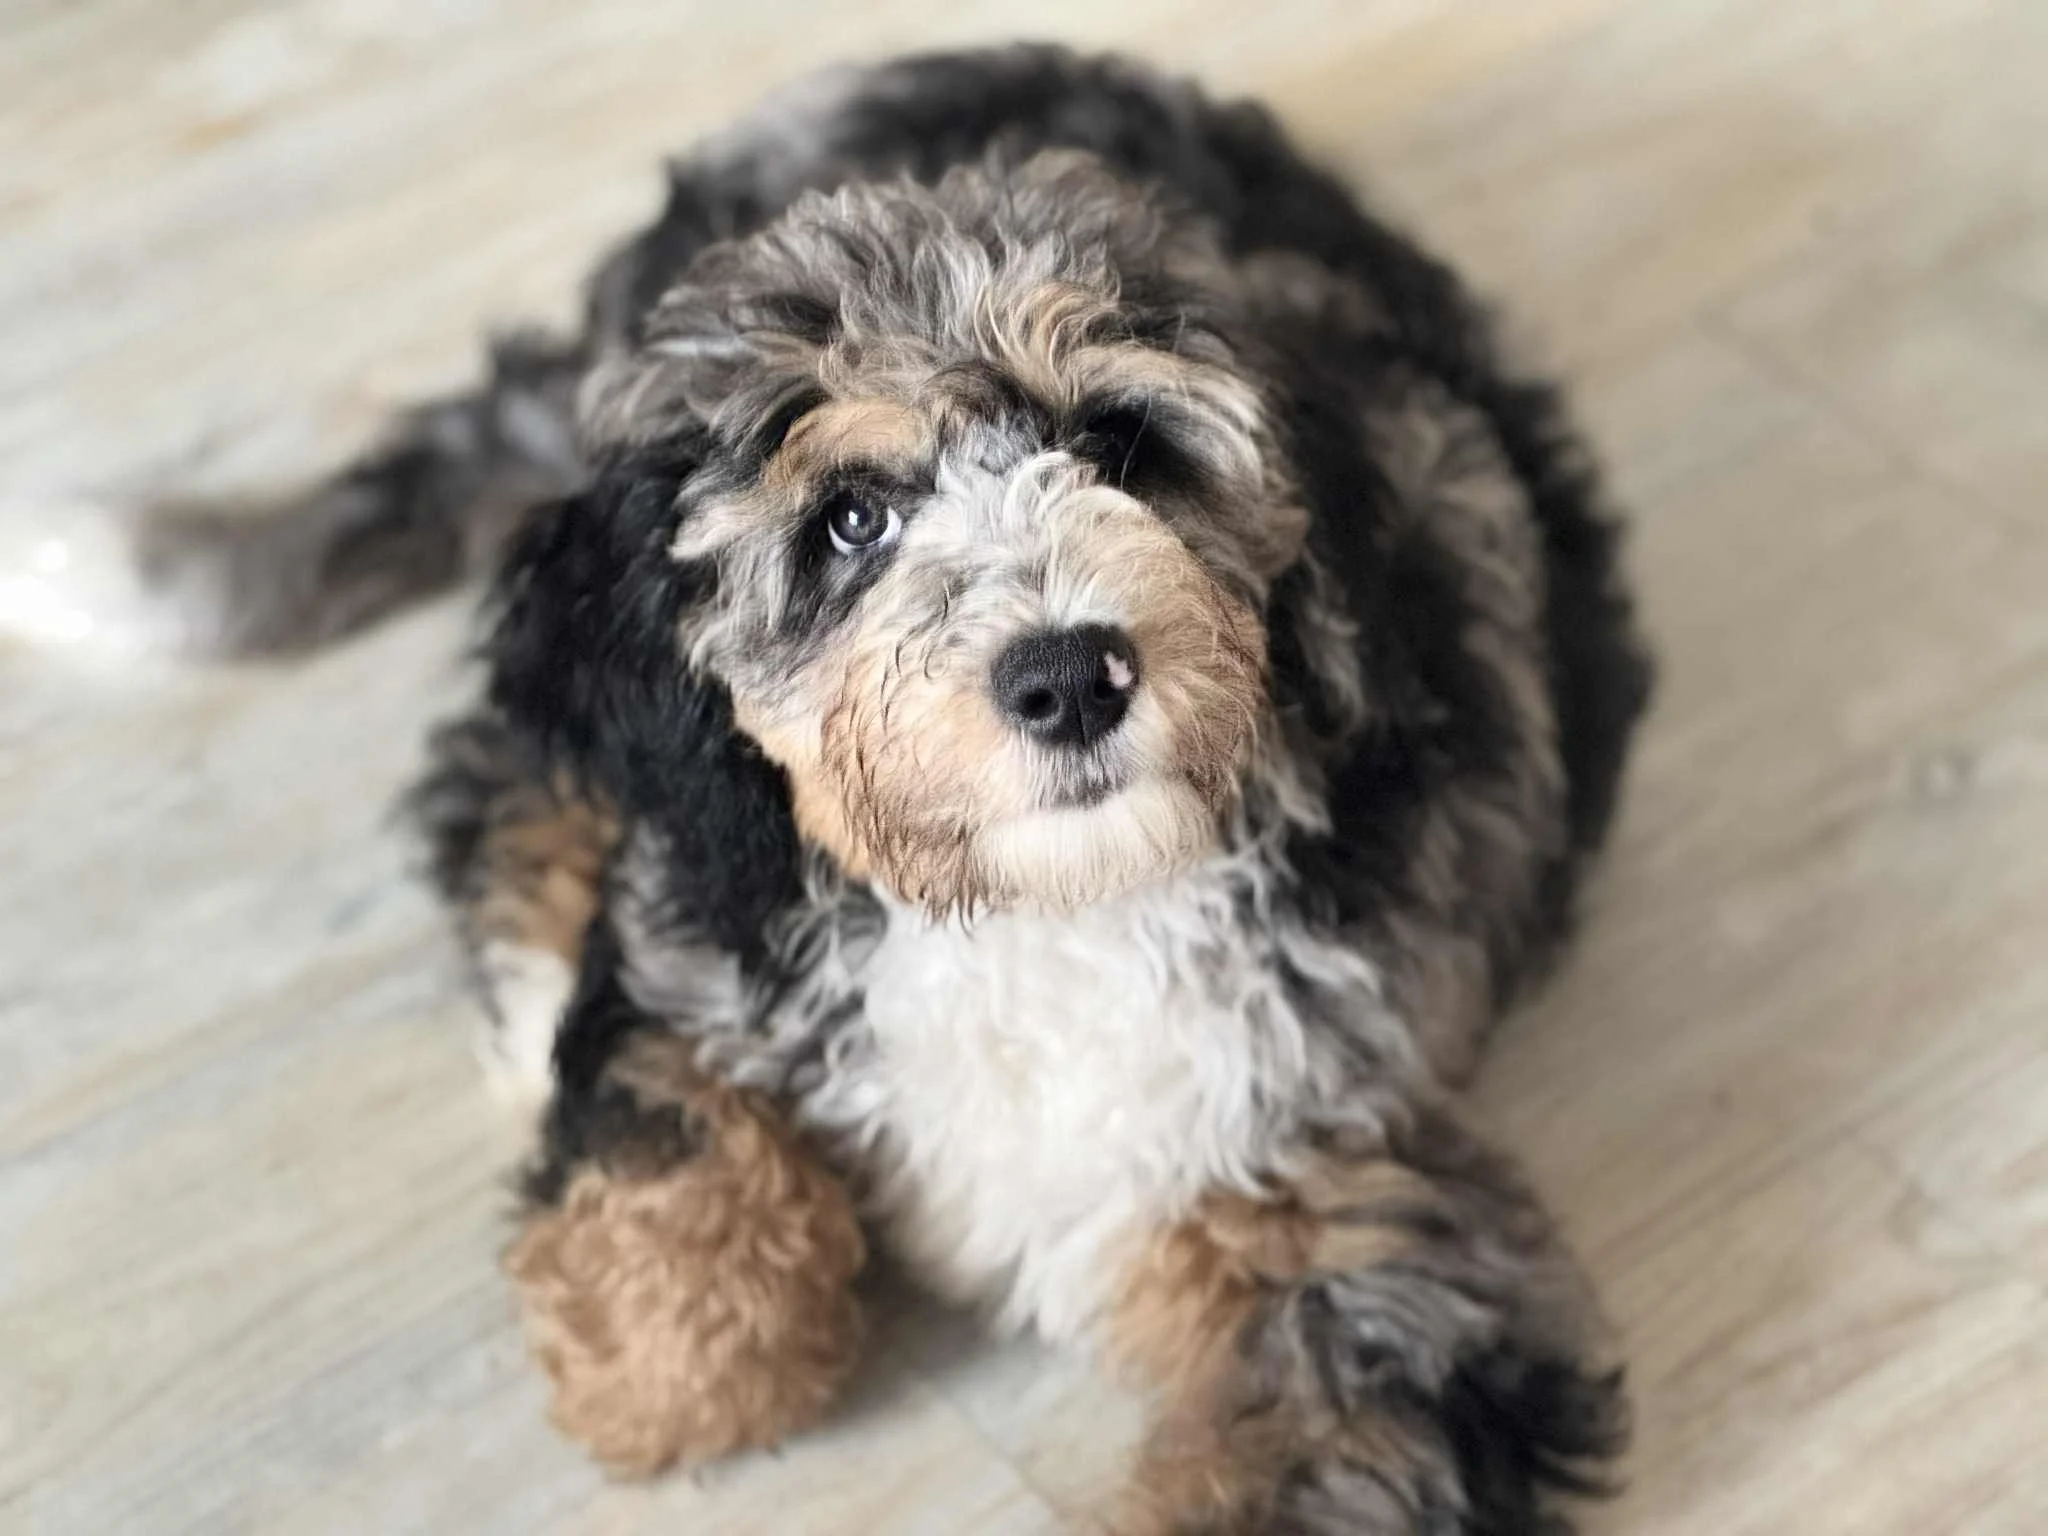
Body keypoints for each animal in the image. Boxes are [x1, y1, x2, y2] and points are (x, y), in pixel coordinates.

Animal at [109, 45, 1653, 1534]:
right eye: (851, 519)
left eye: (1124, 449)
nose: (1069, 676)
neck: (1035, 910)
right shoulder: (704, 949)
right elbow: (680, 1262)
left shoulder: (1346, 1224)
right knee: (511, 751)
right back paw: (525, 980)